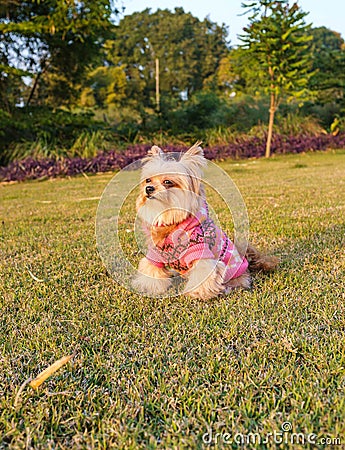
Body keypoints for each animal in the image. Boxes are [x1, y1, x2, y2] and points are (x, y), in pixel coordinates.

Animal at [132, 142, 276, 300]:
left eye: (167, 181)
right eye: (148, 180)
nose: (148, 188)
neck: (171, 222)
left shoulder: (201, 253)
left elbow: (204, 275)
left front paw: (197, 294)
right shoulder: (155, 254)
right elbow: (151, 270)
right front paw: (149, 289)